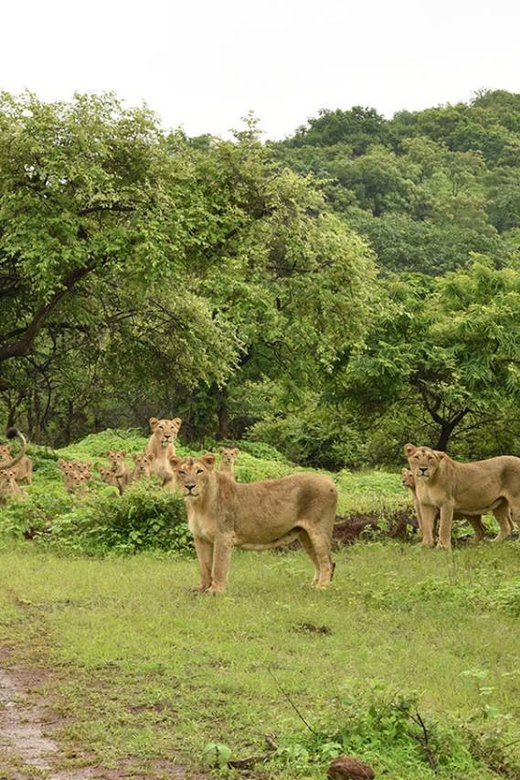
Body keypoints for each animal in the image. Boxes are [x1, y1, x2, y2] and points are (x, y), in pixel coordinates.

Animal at [170, 454, 338, 596]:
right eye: (181, 472)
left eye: (199, 471)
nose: (189, 486)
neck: (199, 503)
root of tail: (331, 480)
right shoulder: (200, 538)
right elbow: (204, 567)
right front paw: (202, 589)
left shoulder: (223, 535)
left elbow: (218, 566)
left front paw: (216, 591)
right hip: (305, 535)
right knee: (319, 562)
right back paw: (310, 587)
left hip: (319, 530)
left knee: (327, 562)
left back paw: (321, 588)